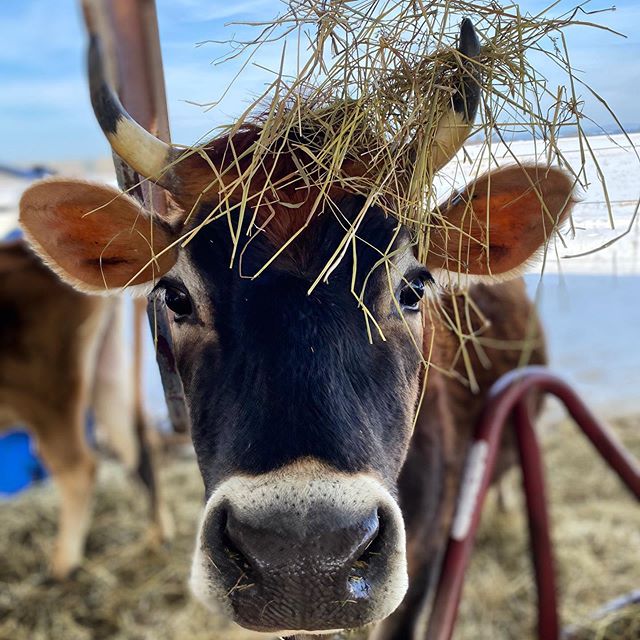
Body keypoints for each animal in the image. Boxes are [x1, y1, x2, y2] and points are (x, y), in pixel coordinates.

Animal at [0, 236, 172, 580]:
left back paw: (62, 566)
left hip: (46, 395)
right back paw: (158, 536)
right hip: (107, 373)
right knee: (135, 445)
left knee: (79, 467)